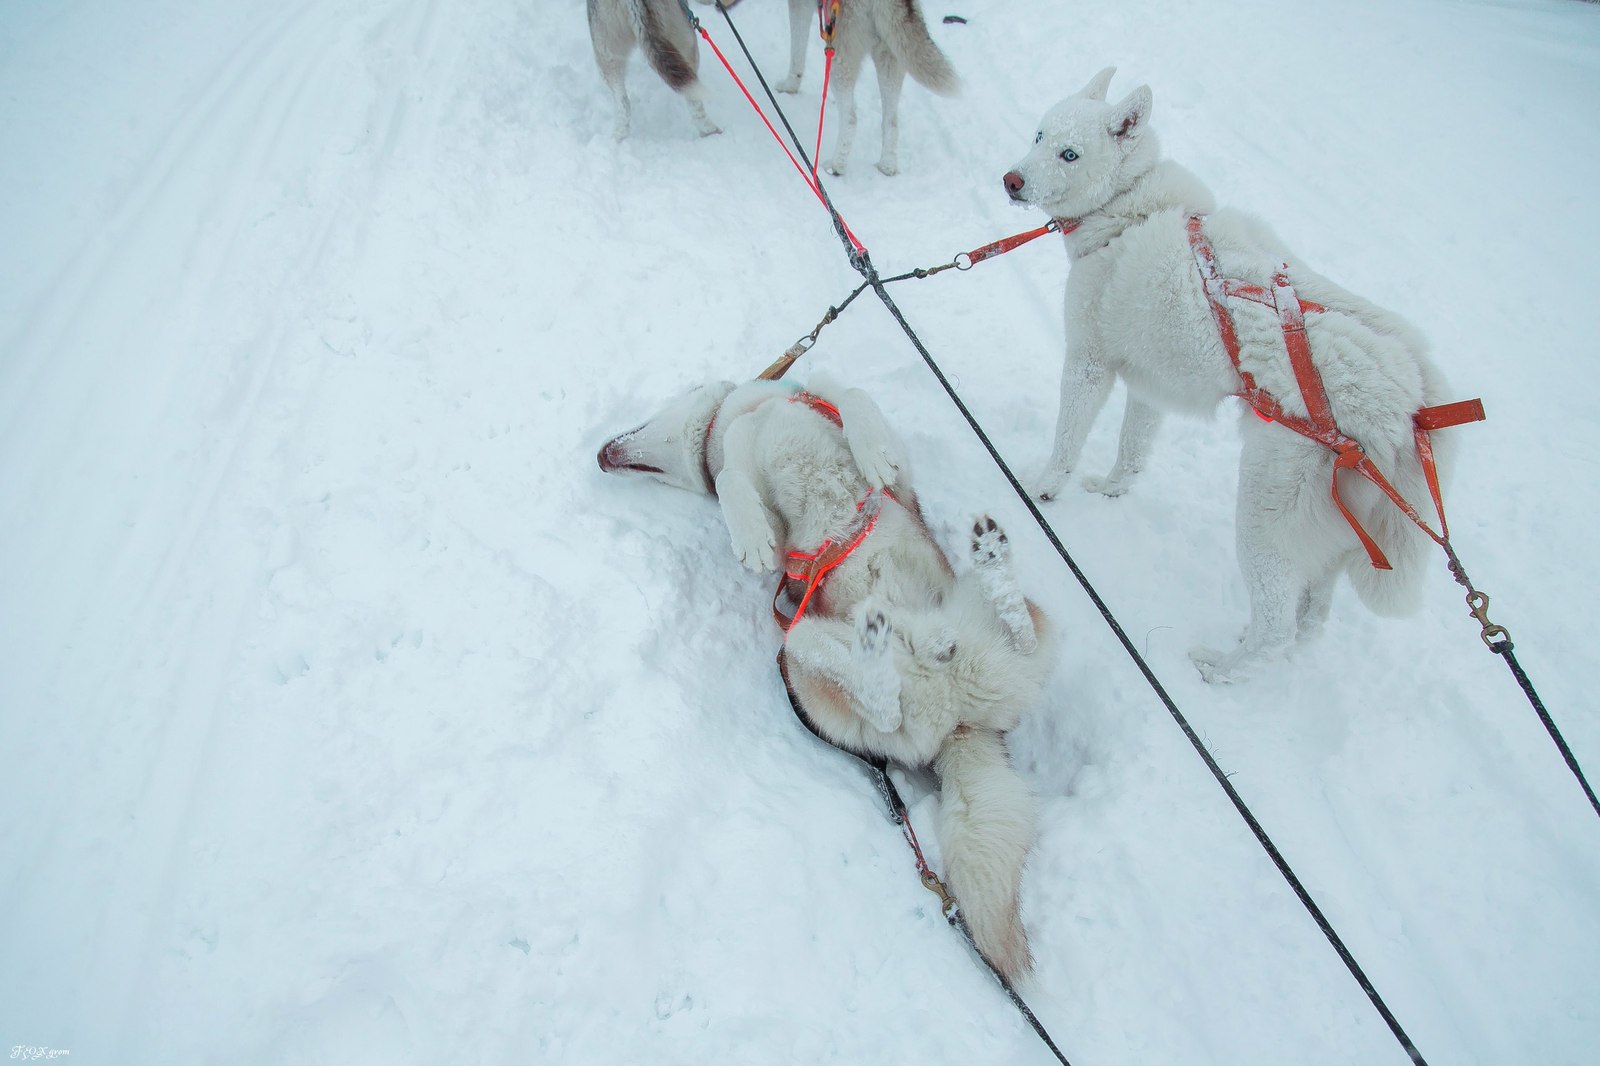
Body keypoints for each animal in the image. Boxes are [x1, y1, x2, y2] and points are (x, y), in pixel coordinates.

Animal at [595, 371, 1056, 979]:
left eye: (647, 422)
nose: (601, 454)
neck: (753, 409)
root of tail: (957, 720)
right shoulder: (767, 520)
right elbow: (732, 482)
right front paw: (749, 534)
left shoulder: (895, 474)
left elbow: (849, 398)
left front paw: (871, 448)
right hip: (799, 656)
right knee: (883, 702)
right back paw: (892, 651)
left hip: (991, 626)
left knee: (1015, 630)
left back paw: (983, 575)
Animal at [1004, 66, 1478, 681]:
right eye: (1039, 135)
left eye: (1069, 153)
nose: (1011, 180)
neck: (1128, 210)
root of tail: (1416, 403)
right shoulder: (1150, 386)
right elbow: (1132, 454)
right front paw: (1111, 489)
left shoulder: (1089, 364)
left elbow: (1066, 442)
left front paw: (1042, 490)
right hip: (1327, 533)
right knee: (1309, 620)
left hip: (1264, 514)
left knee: (1278, 626)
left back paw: (1221, 670)